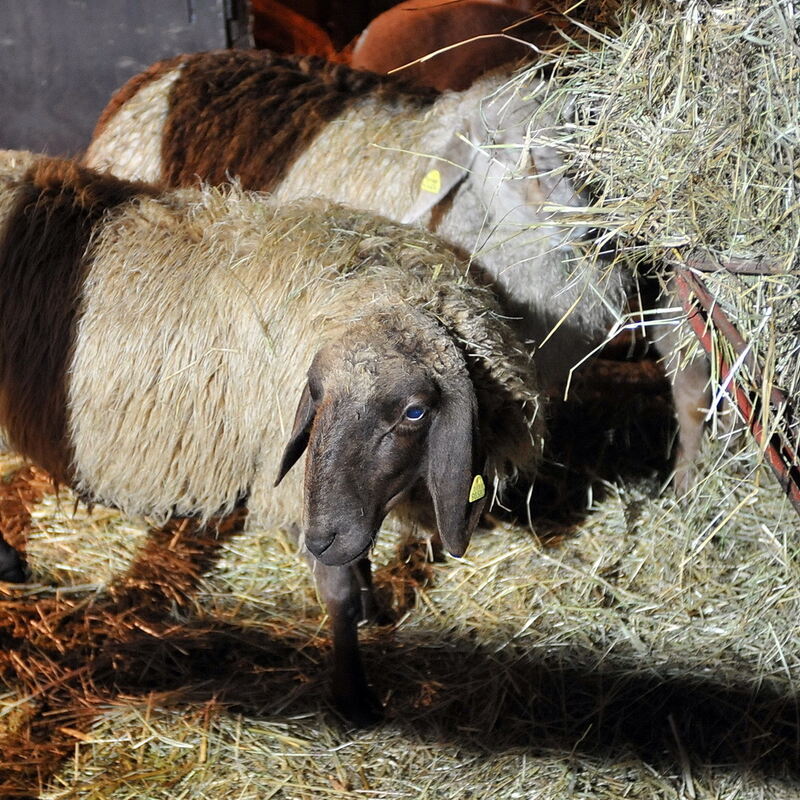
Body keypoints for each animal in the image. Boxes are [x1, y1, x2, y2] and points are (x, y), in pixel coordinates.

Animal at [0, 150, 544, 724]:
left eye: (414, 412)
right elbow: (338, 592)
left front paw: (373, 611)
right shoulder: (302, 495)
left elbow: (358, 559)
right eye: (316, 394)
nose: (324, 540)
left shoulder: (339, 501)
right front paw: (353, 696)